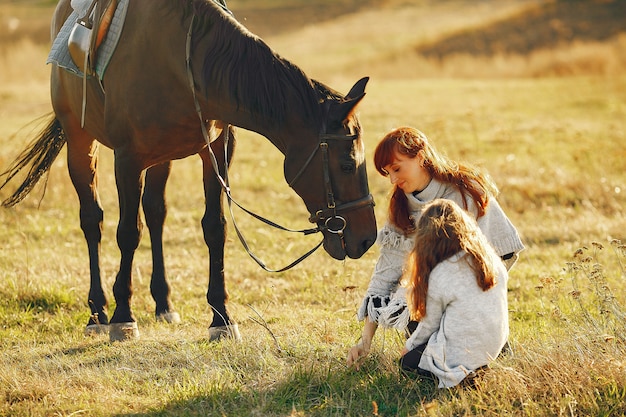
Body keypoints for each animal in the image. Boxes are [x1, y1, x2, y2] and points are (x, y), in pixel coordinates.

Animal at [0, 0, 376, 342]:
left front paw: (221, 318)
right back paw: (98, 314)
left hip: (160, 158)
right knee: (93, 220)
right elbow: (128, 232)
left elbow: (214, 228)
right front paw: (123, 317)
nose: (367, 238)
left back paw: (163, 304)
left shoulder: (217, 152)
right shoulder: (128, 159)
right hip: (81, 141)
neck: (184, 61)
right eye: (347, 164)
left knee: (155, 213)